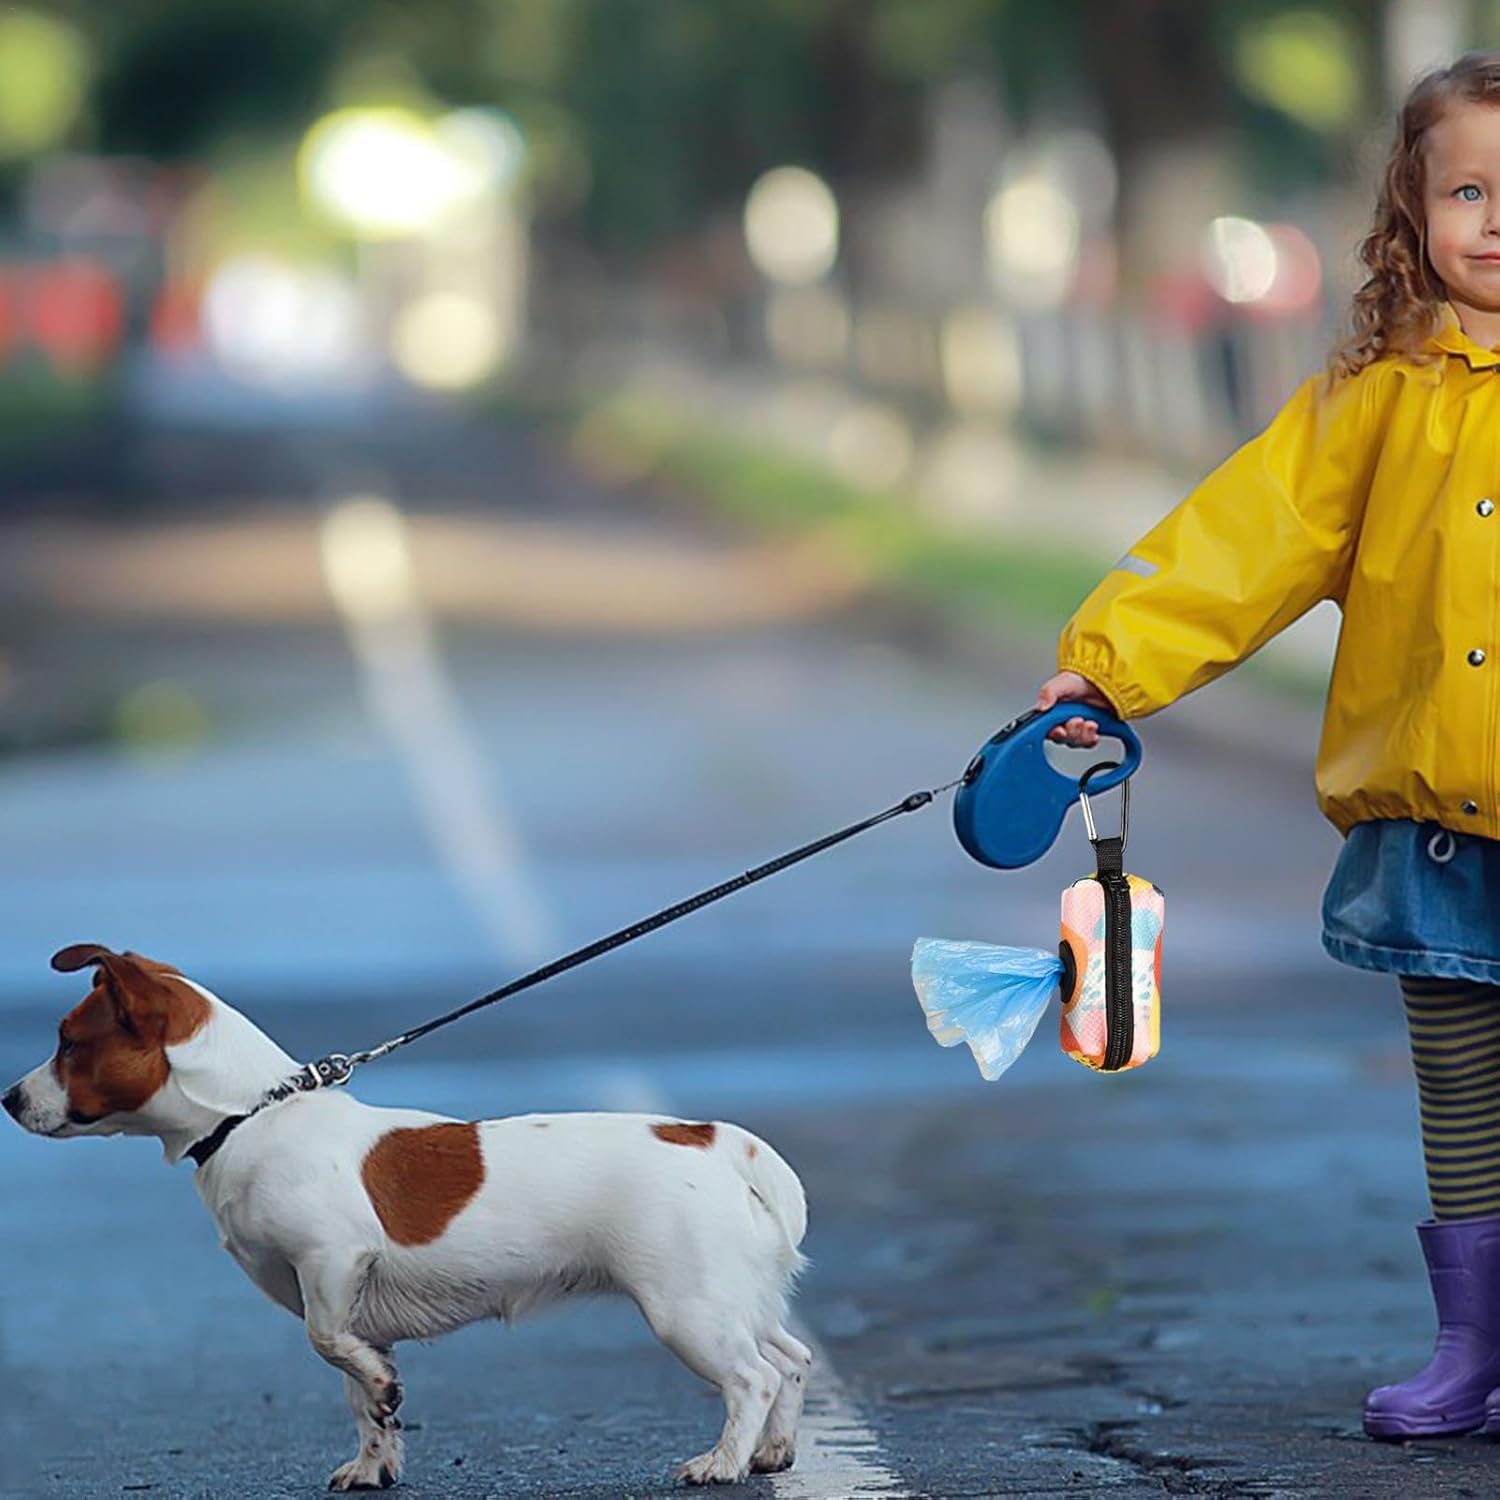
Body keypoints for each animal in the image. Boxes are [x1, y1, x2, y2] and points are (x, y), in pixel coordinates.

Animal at [5, 948, 816, 1488]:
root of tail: (713, 1139)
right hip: (733, 1298)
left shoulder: (332, 1266)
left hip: (686, 1309)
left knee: (752, 1378)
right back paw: (772, 1452)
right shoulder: (341, 1297)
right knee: (790, 1359)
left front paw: (385, 1395)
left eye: (68, 1043)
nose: (7, 1099)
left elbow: (334, 1348)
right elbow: (361, 1400)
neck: (247, 1116)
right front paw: (375, 1461)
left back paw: (723, 1462)